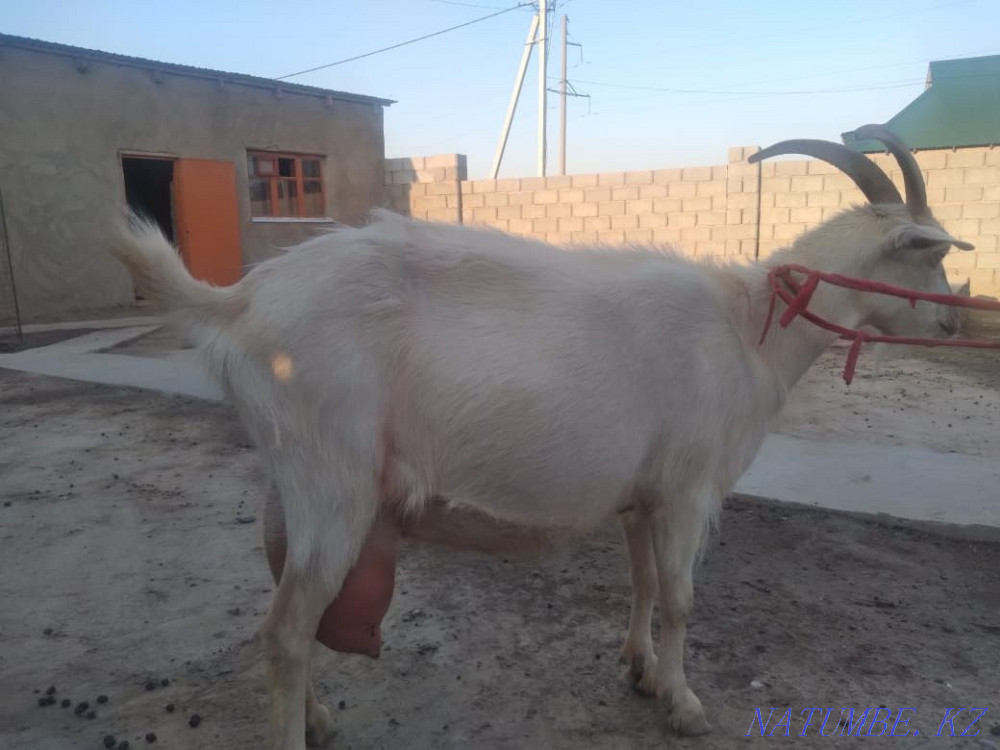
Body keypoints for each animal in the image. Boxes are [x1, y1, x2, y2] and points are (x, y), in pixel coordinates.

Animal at [111, 125, 972, 749]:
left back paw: (316, 716)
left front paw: (639, 670)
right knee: (286, 631)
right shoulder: (688, 488)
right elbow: (682, 596)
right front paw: (684, 703)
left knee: (291, 603)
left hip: (294, 482)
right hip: (333, 479)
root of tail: (238, 303)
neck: (748, 329)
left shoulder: (642, 495)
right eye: (928, 255)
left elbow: (644, 584)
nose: (956, 320)